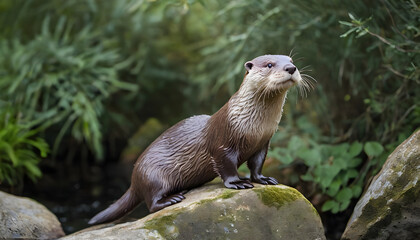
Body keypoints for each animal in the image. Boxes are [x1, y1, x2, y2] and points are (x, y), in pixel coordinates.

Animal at [89, 54, 312, 225]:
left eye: (291, 60)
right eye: (269, 64)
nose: (291, 68)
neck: (254, 127)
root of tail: (134, 177)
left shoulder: (263, 142)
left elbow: (257, 164)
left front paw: (262, 179)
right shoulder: (223, 143)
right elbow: (226, 167)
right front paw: (238, 183)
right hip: (153, 175)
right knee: (151, 203)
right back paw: (172, 199)